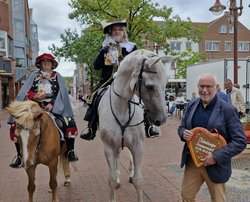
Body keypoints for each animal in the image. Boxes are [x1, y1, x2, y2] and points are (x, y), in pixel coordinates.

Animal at [97, 49, 176, 202]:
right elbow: (111, 180)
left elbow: (138, 180)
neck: (121, 108)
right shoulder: (108, 147)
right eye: (150, 86)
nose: (162, 119)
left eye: (166, 84)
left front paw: (133, 177)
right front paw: (115, 181)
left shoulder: (138, 146)